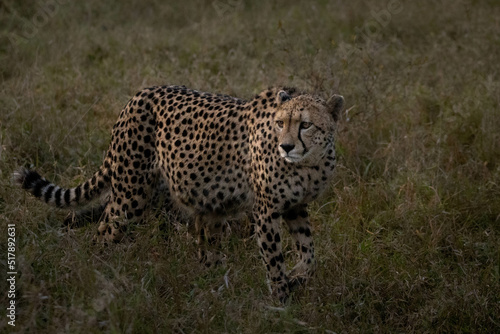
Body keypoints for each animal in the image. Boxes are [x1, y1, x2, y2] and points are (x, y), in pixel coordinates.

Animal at [14, 85, 344, 302]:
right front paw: (281, 300)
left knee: (206, 247)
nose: (286, 146)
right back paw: (95, 276)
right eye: (280, 123)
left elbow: (309, 253)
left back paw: (212, 285)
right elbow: (274, 258)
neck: (308, 164)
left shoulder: (296, 207)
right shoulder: (266, 211)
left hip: (192, 203)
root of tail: (139, 94)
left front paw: (297, 278)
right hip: (130, 197)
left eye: (305, 124)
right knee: (104, 231)